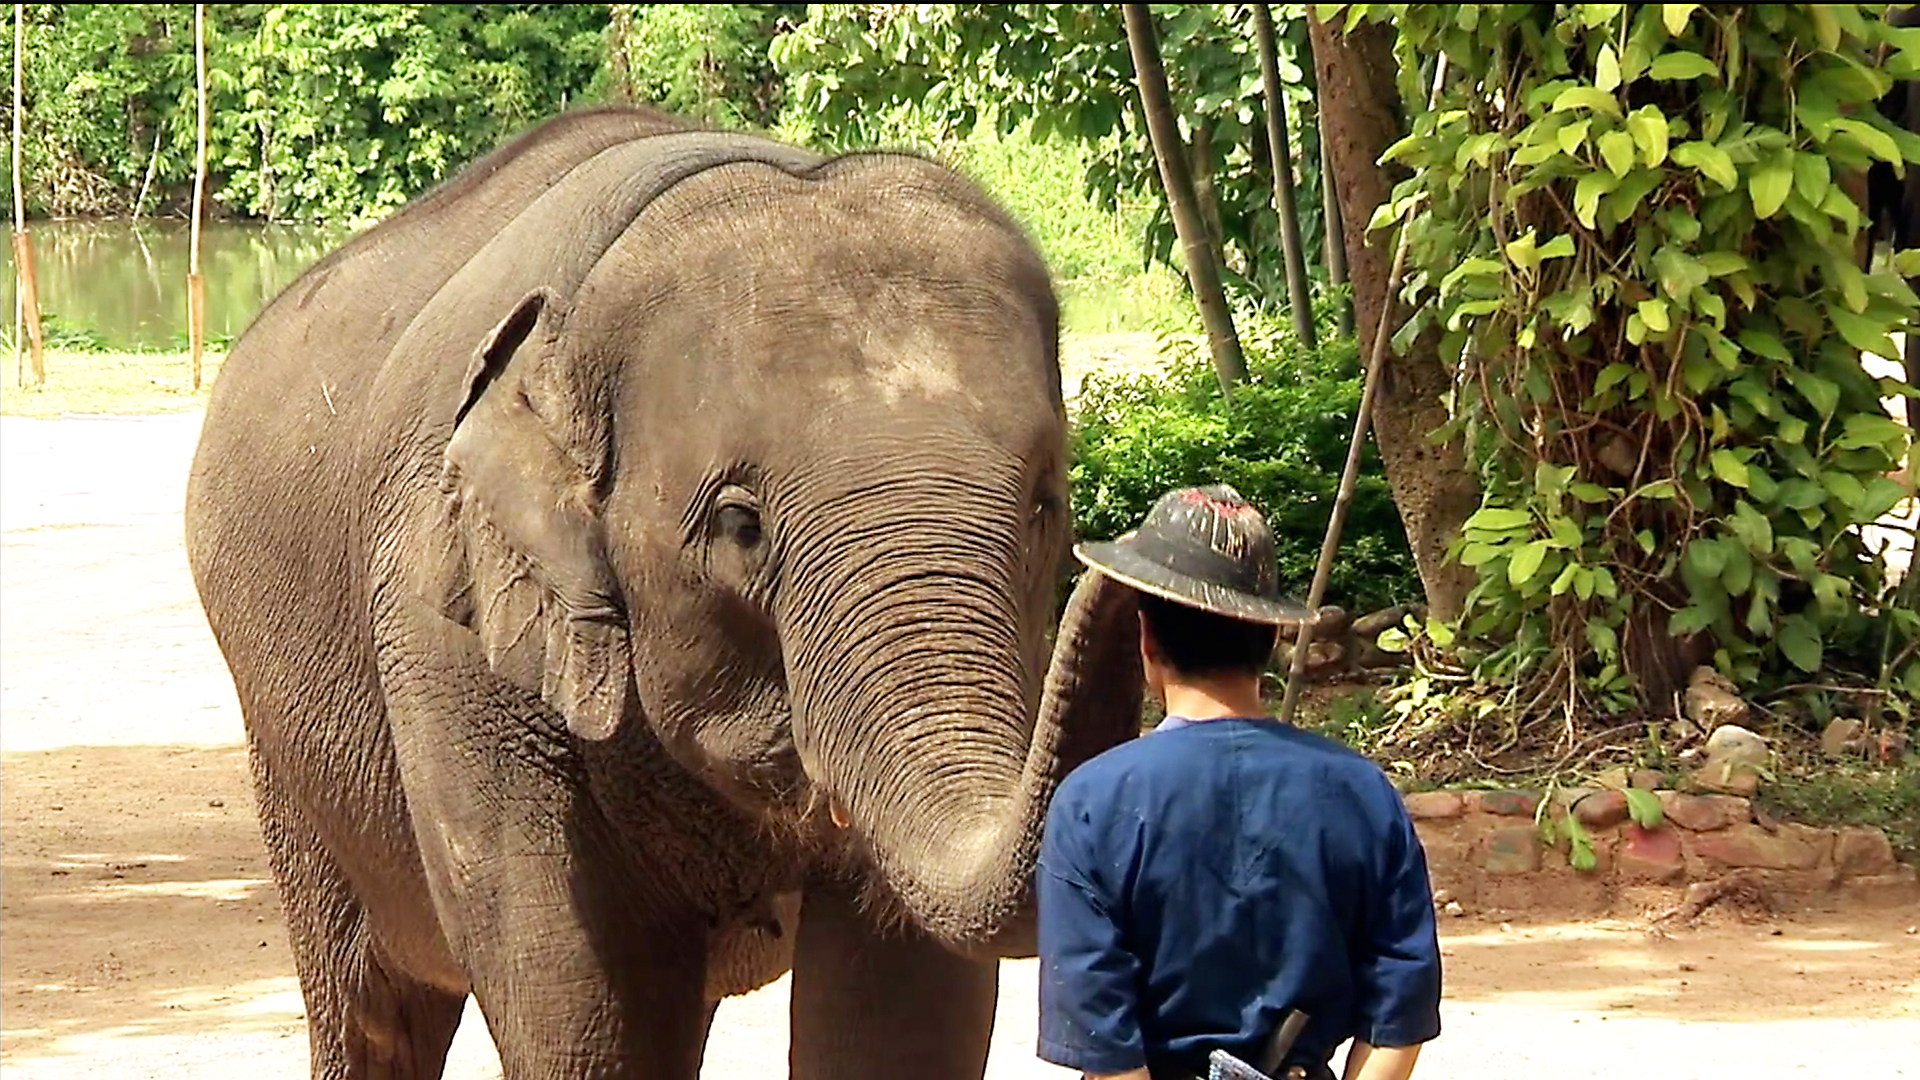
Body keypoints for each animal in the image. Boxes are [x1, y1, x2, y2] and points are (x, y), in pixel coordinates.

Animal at [183, 103, 1146, 1080]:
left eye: (1044, 502)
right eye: (739, 524)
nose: (1127, 575)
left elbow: (903, 1006)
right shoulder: (446, 644)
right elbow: (587, 1019)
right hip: (285, 748)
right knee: (368, 1004)